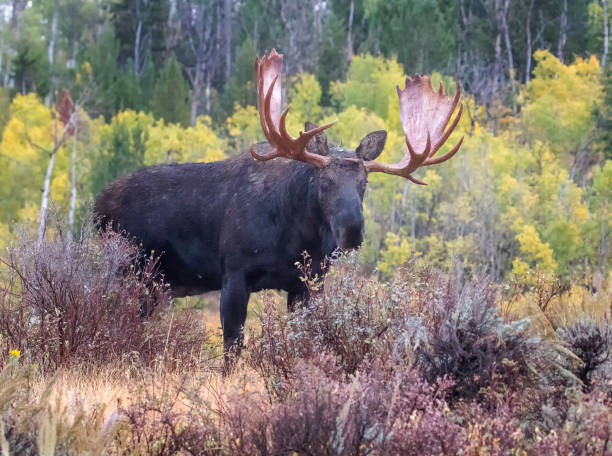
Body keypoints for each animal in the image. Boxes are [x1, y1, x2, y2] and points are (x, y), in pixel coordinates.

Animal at [93, 49, 462, 356]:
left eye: (365, 183)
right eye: (324, 181)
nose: (352, 230)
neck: (298, 239)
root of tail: (96, 204)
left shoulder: (308, 283)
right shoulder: (234, 274)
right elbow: (232, 347)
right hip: (129, 272)